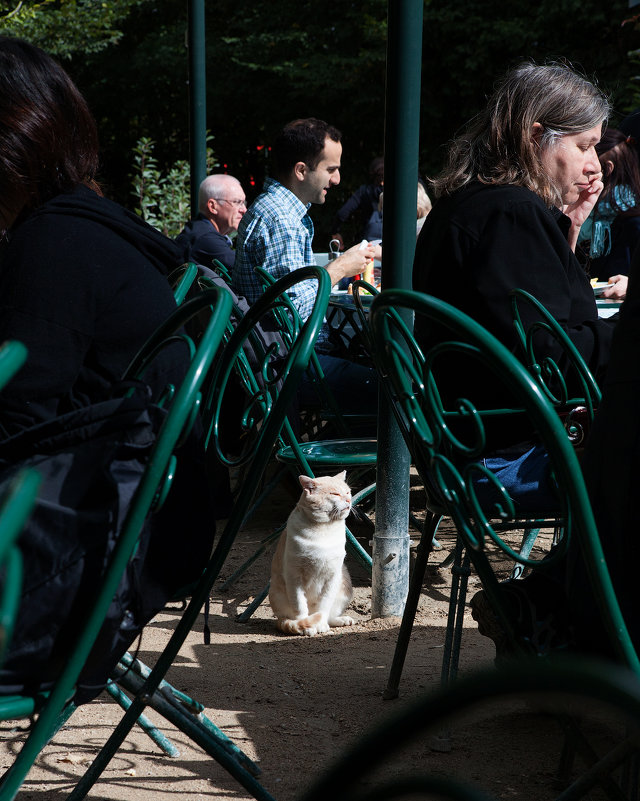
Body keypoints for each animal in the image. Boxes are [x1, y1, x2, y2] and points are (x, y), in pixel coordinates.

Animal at [266, 468, 352, 636]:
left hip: (345, 582)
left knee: (330, 615)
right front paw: (307, 626)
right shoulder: (294, 576)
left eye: (348, 492)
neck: (325, 529)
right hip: (275, 591)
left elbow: (324, 606)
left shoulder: (333, 576)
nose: (348, 500)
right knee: (289, 617)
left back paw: (340, 620)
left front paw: (321, 625)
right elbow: (300, 607)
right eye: (335, 494)